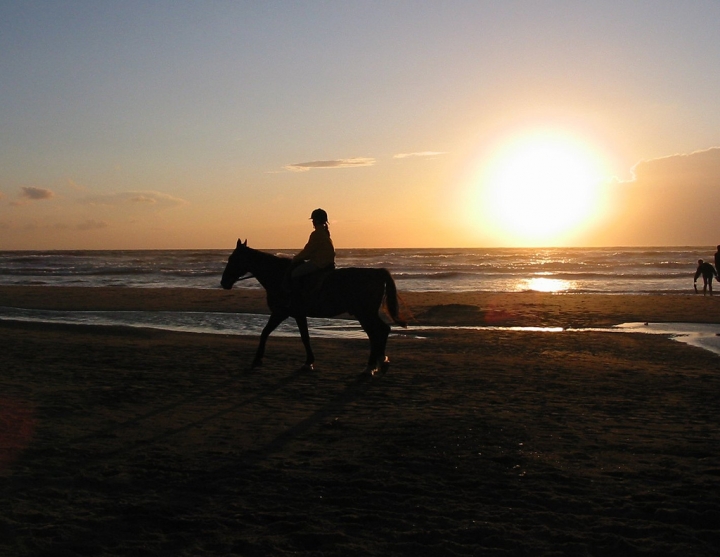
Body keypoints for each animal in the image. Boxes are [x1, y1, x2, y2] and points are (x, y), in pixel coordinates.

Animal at [221, 239, 404, 374]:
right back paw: (381, 361)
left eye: (232, 259)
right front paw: (308, 362)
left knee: (376, 333)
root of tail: (377, 272)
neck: (279, 276)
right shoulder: (297, 315)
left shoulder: (280, 313)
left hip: (364, 314)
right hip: (366, 314)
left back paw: (371, 366)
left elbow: (265, 333)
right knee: (382, 331)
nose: (224, 282)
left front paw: (257, 359)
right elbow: (304, 337)